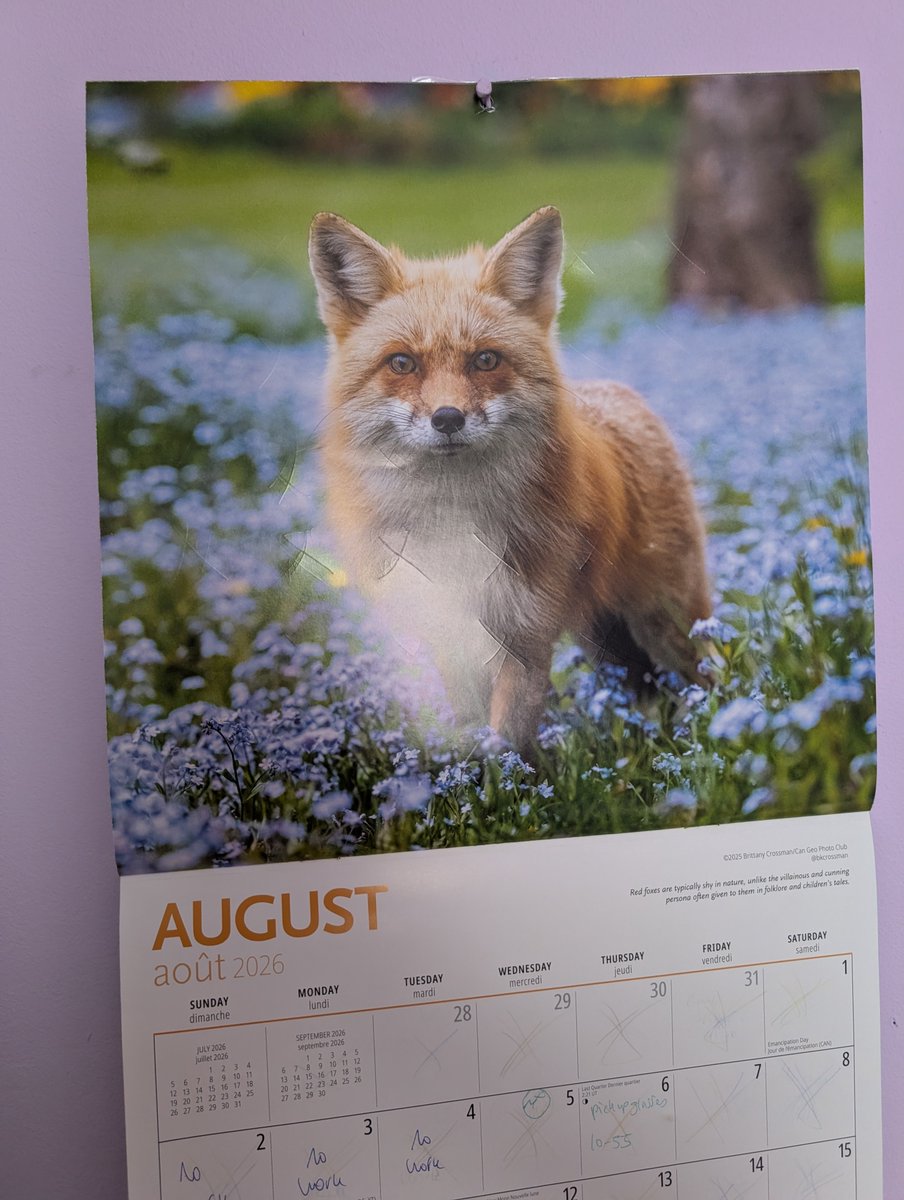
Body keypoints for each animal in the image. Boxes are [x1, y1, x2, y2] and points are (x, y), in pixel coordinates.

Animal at [308, 206, 712, 752]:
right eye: (402, 363)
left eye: (485, 359)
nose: (448, 418)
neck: (452, 522)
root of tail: (621, 392)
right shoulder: (451, 632)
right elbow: (474, 731)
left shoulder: (525, 636)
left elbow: (507, 744)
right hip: (601, 638)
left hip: (666, 625)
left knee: (714, 674)